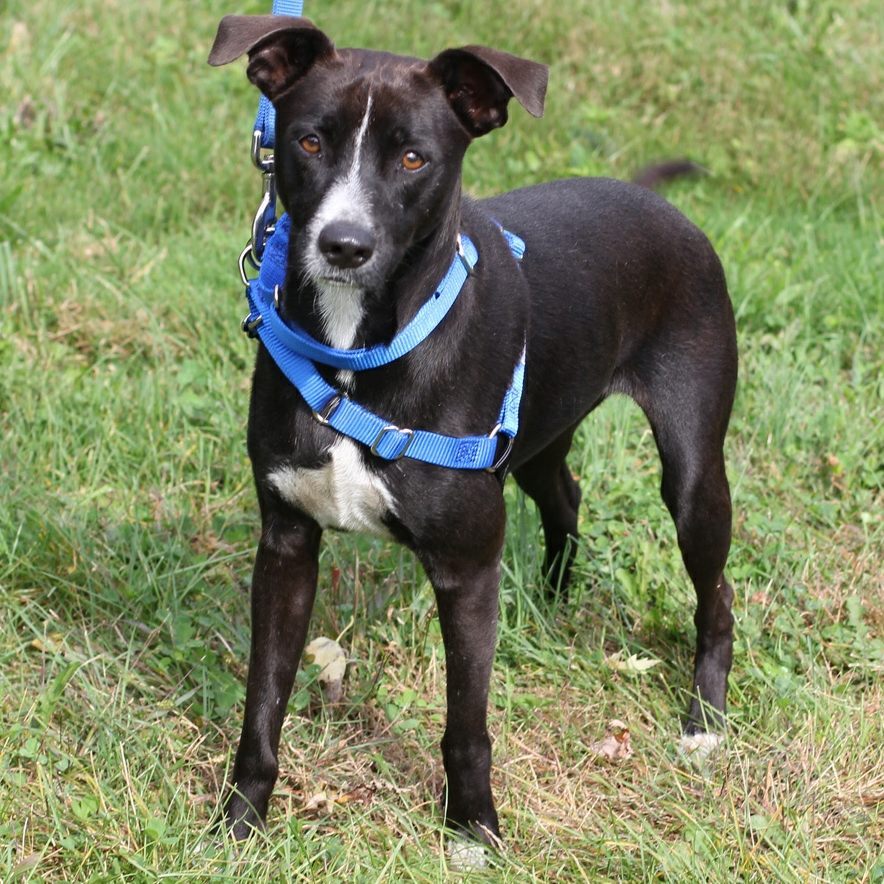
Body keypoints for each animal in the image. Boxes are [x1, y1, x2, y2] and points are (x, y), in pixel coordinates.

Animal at [209, 13, 740, 856]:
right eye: (310, 141)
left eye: (414, 157)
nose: (343, 246)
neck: (360, 349)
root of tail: (653, 202)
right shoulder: (286, 545)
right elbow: (264, 700)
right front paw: (240, 821)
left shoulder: (463, 568)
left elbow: (466, 724)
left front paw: (473, 828)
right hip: (536, 434)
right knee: (564, 494)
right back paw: (553, 600)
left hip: (691, 470)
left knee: (715, 591)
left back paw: (705, 723)